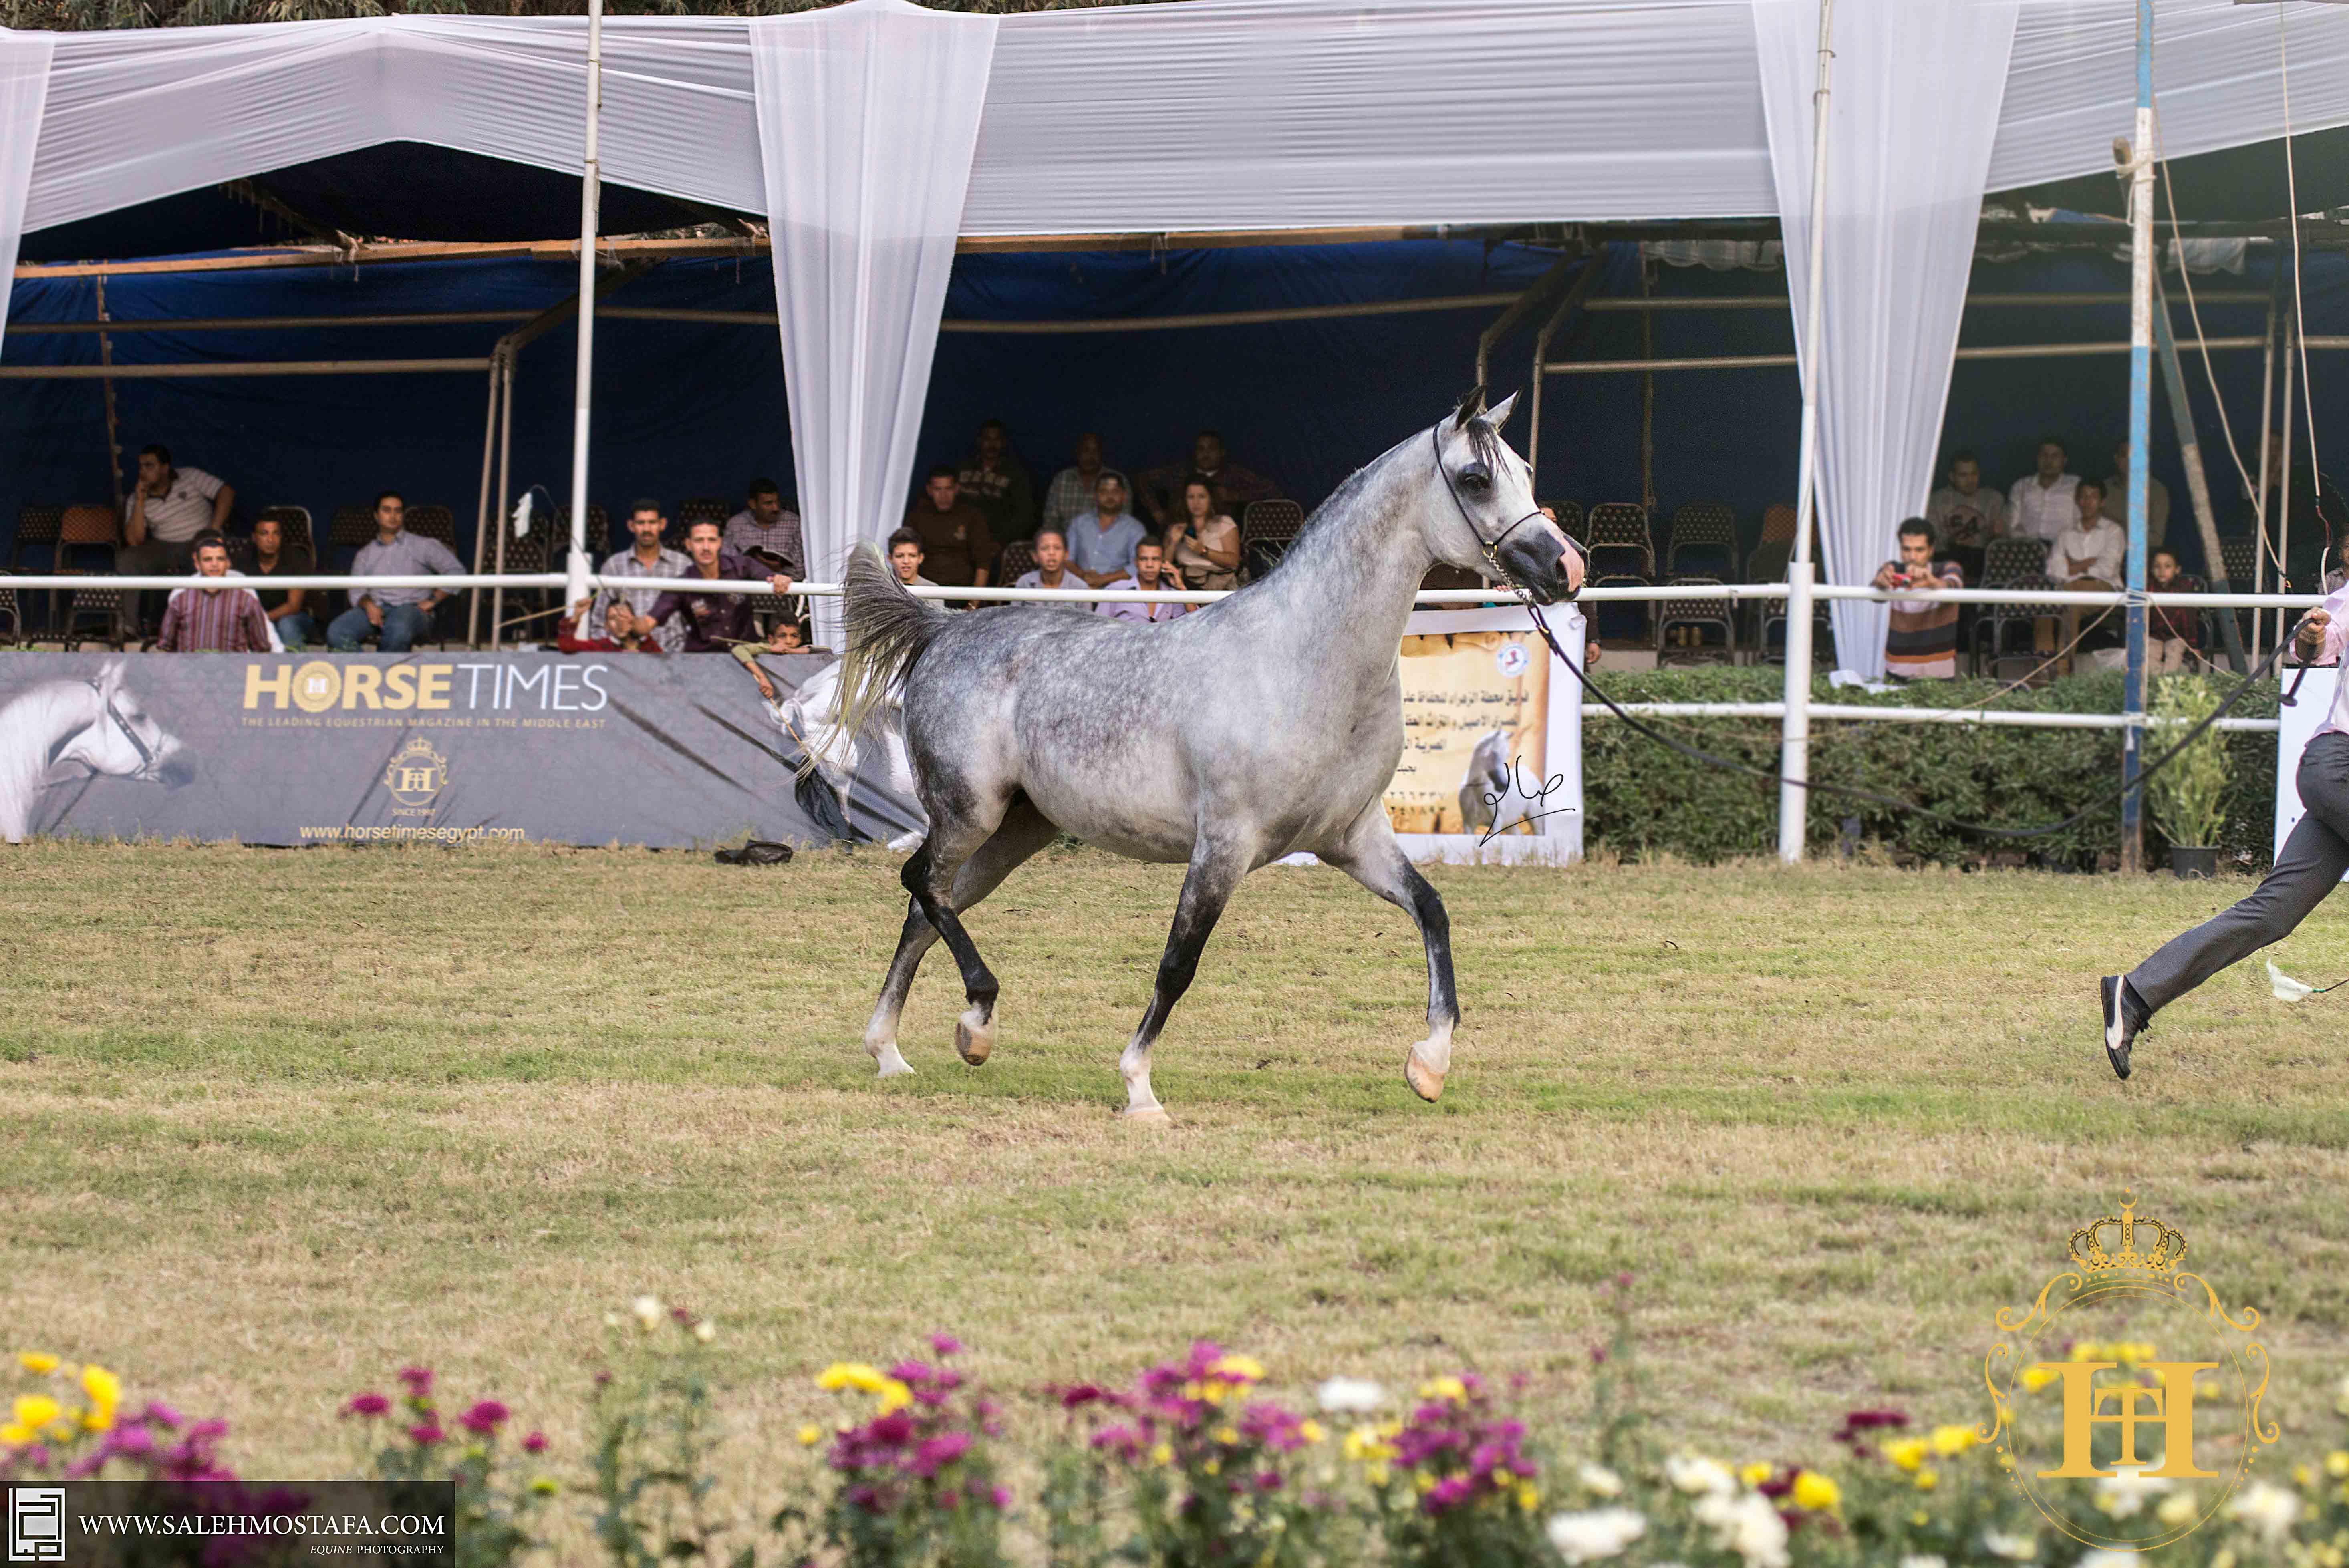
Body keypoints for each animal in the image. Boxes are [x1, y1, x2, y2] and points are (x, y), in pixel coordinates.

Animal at [833, 389, 1582, 1121]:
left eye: (1524, 471)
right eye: (1476, 478)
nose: (1566, 566)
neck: (1301, 660)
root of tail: (943, 630)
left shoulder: (1352, 837)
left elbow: (1431, 910)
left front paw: (1429, 1065)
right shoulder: (1223, 845)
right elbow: (1178, 963)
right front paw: (1138, 1088)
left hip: (1017, 831)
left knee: (928, 907)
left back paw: (902, 1050)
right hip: (970, 812)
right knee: (921, 885)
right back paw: (973, 1016)